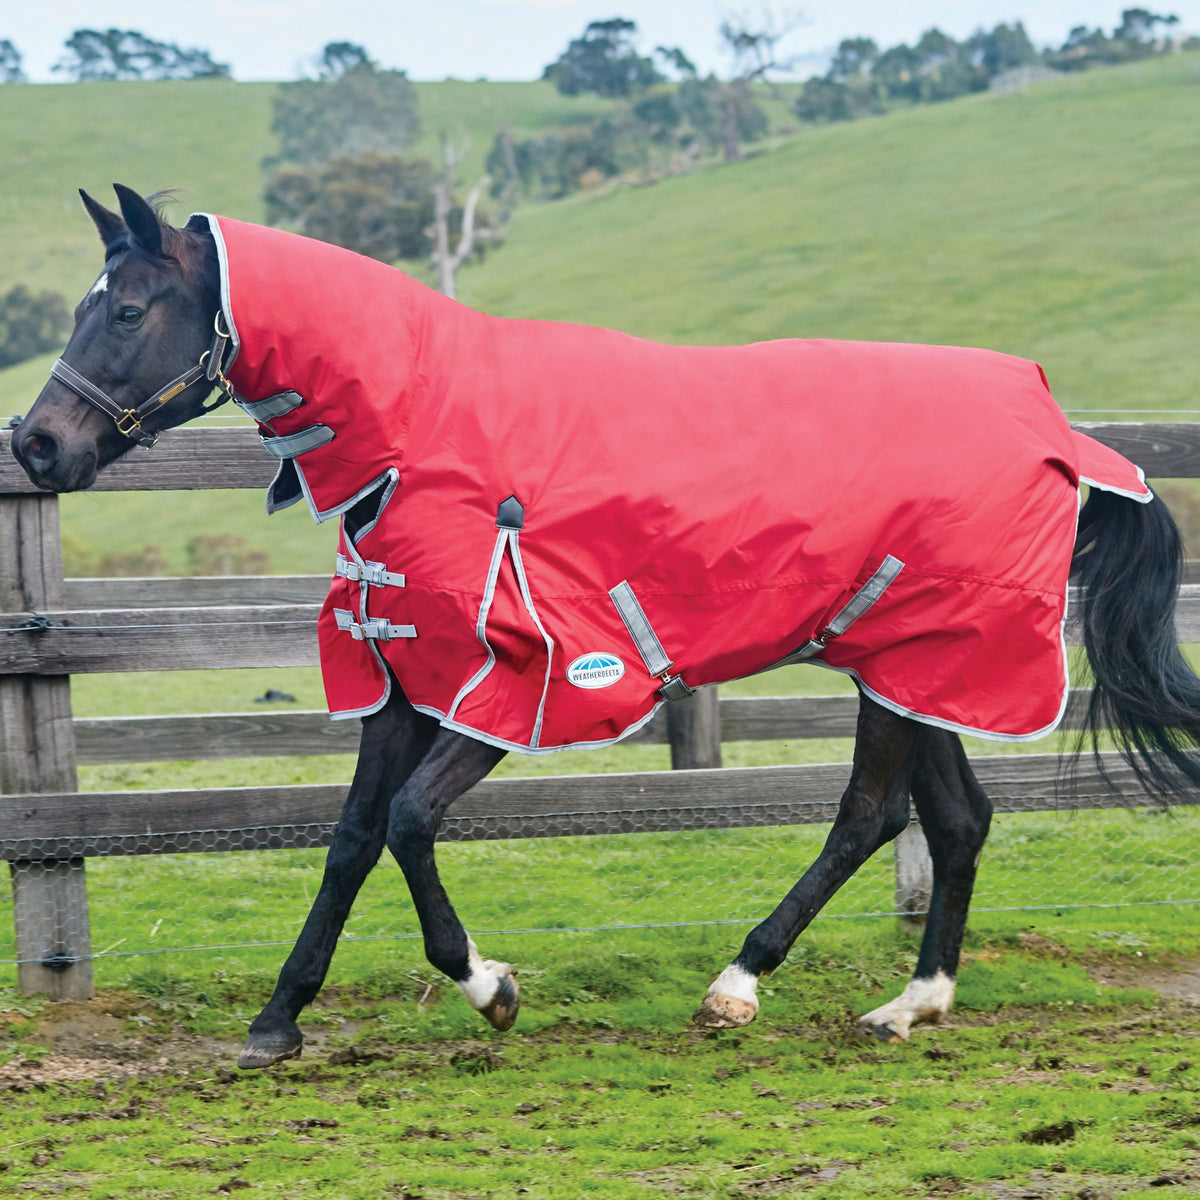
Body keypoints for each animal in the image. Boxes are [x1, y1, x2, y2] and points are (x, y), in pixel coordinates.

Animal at [9, 184, 1200, 1070]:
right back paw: (912, 1005)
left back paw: (737, 987)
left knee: (868, 815)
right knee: (955, 820)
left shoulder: (523, 686)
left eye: (125, 311)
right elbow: (350, 838)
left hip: (915, 665)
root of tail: (1058, 428)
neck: (426, 428)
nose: (37, 445)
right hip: (912, 666)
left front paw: (490, 986)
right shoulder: (403, 679)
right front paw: (276, 1020)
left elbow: (407, 822)